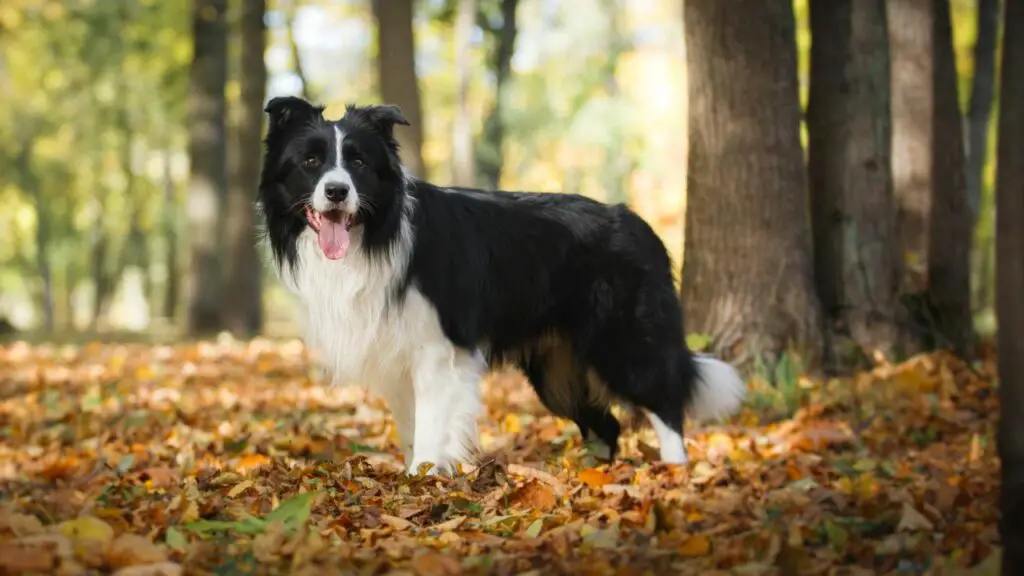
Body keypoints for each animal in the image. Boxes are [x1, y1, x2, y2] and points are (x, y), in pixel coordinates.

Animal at [256, 97, 745, 471]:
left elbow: (431, 427)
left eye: (358, 162)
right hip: (557, 370)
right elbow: (411, 427)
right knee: (606, 425)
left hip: (624, 341)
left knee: (665, 404)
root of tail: (638, 223)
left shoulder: (436, 350)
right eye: (311, 162)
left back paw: (674, 473)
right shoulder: (395, 354)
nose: (337, 191)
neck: (374, 235)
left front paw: (423, 479)